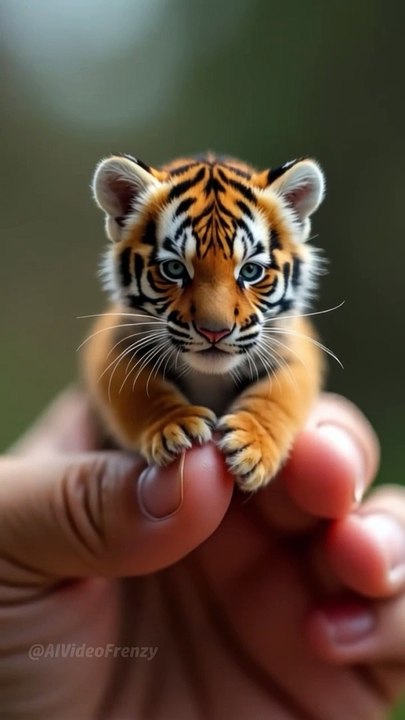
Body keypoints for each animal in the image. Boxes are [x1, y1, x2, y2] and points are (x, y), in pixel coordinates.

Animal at [82, 152, 326, 491]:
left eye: (250, 271)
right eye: (174, 269)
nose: (215, 331)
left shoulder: (296, 349)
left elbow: (278, 395)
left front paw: (253, 445)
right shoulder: (112, 345)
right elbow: (139, 390)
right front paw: (174, 425)